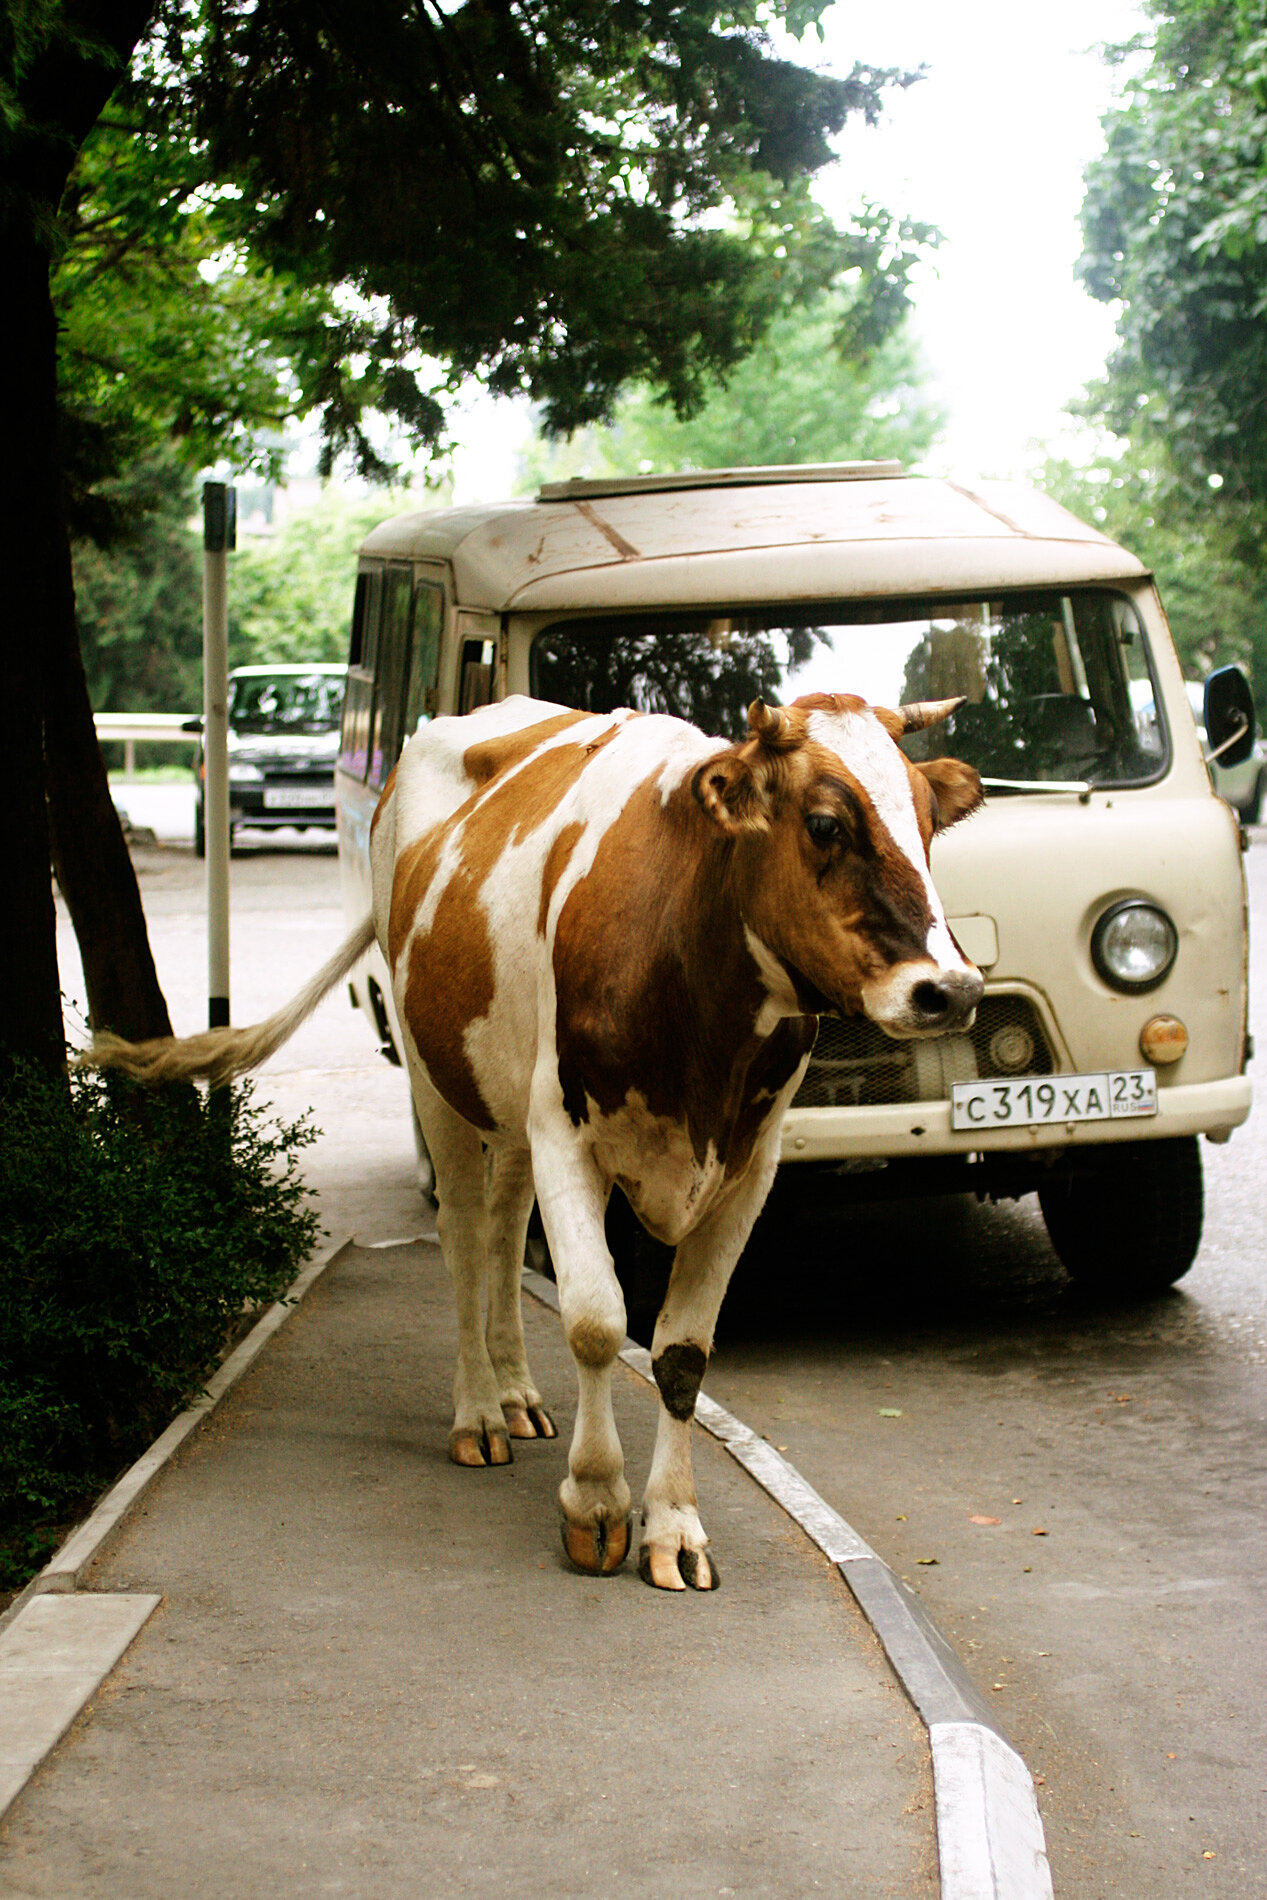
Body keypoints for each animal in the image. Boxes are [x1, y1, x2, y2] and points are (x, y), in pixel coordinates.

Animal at [94, 695, 987, 1588]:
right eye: (826, 823)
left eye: (927, 820)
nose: (950, 989)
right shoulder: (566, 1134)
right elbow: (594, 1322)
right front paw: (594, 1503)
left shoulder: (747, 1168)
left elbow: (683, 1354)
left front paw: (673, 1525)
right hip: (435, 1074)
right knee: (461, 1236)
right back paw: (478, 1414)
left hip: (510, 1104)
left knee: (500, 1228)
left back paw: (516, 1394)